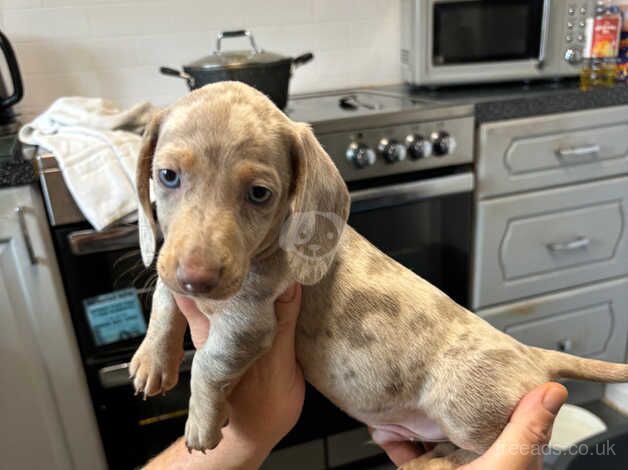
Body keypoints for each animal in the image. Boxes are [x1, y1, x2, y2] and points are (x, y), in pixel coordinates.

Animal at [130, 82, 628, 468]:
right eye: (167, 176)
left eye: (259, 194)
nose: (196, 280)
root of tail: (531, 356)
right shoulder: (170, 267)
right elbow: (164, 303)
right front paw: (152, 361)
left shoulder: (250, 322)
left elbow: (209, 362)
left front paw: (201, 422)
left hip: (467, 408)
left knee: (484, 449)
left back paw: (436, 462)